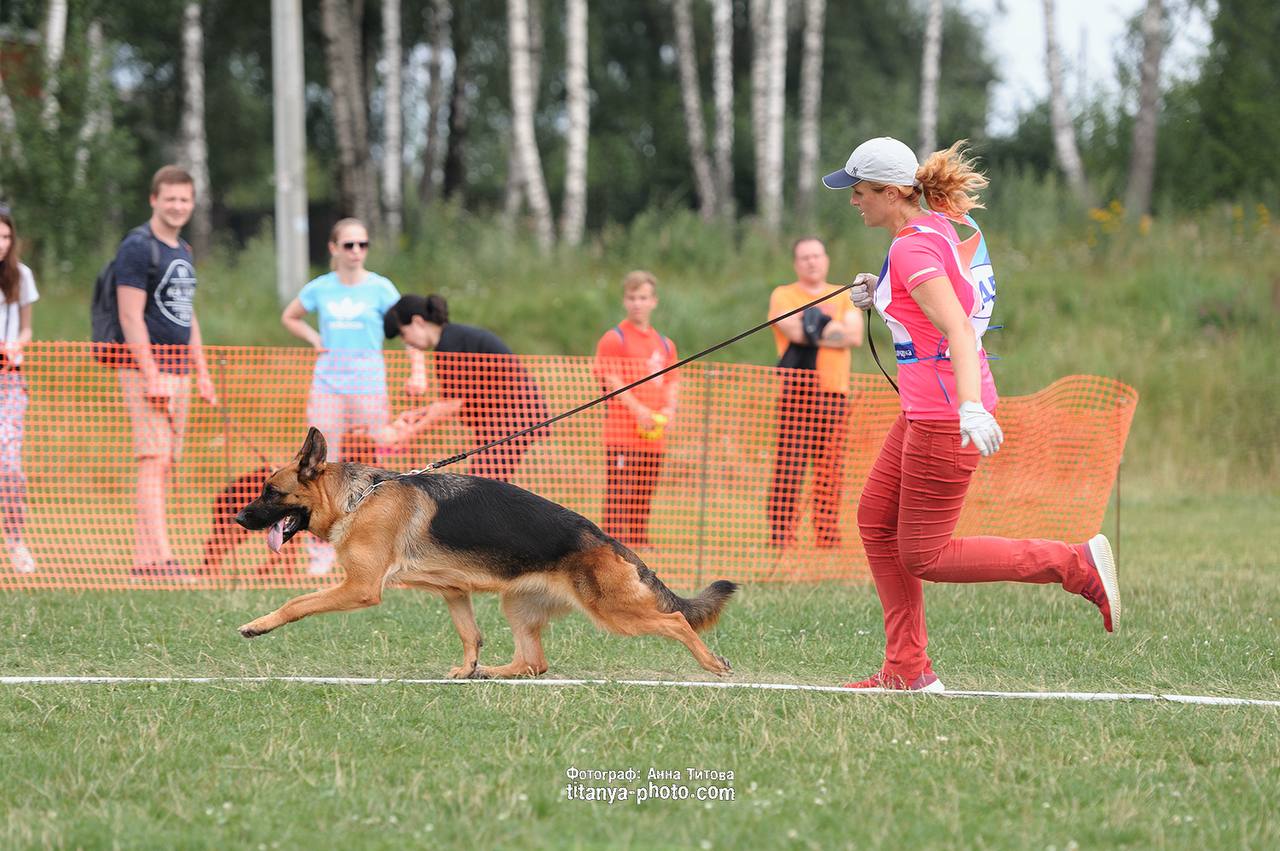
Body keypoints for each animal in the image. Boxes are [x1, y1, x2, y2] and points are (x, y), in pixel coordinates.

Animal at [233, 428, 737, 678]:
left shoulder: (360, 588)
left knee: (675, 621)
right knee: (534, 664)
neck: (358, 498)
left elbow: (298, 601)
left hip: (614, 612)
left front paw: (258, 624)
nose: (237, 518)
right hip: (515, 603)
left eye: (270, 491)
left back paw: (712, 663)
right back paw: (489, 673)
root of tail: (605, 539)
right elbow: (469, 634)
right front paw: (468, 667)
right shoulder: (454, 591)